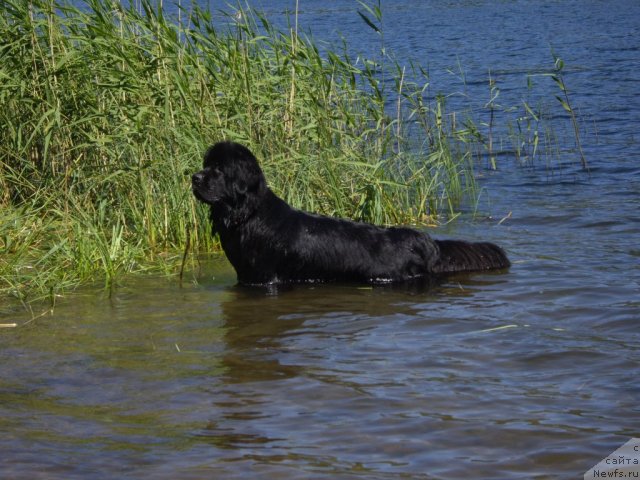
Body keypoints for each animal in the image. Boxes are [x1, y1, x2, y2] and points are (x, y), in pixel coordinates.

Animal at [191, 142, 510, 284]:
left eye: (218, 169)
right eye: (205, 165)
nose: (193, 178)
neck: (249, 215)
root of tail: (427, 243)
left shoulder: (263, 277)